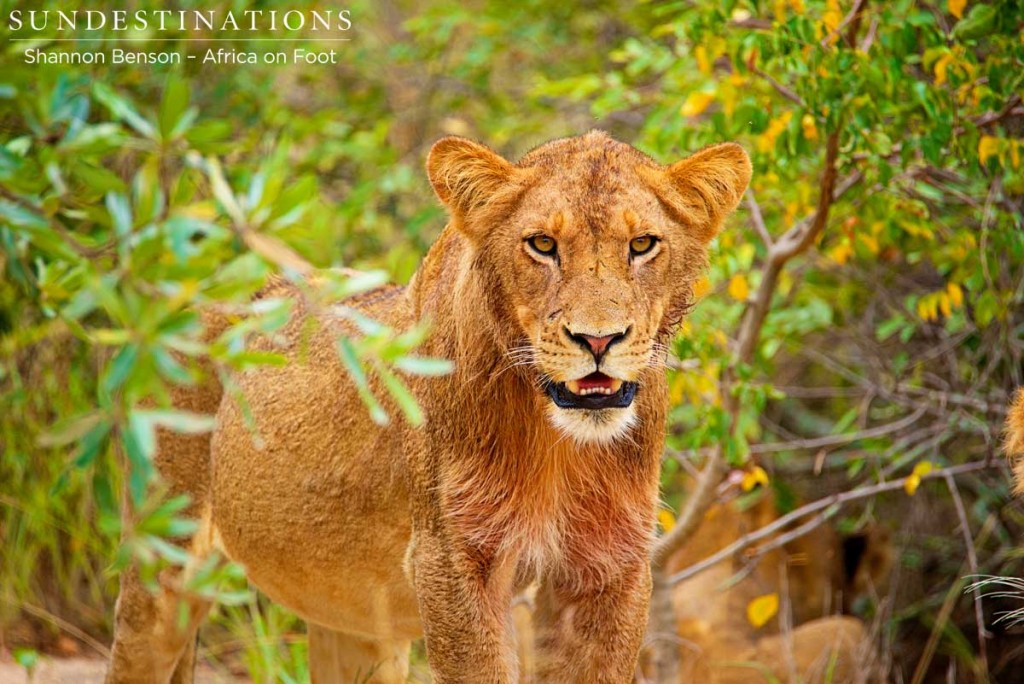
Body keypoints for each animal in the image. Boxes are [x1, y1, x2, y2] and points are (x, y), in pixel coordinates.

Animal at [105, 131, 753, 679]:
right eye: (543, 244)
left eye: (642, 245)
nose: (598, 341)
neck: (558, 444)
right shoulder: (451, 560)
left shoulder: (611, 568)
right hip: (164, 555)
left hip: (353, 619)